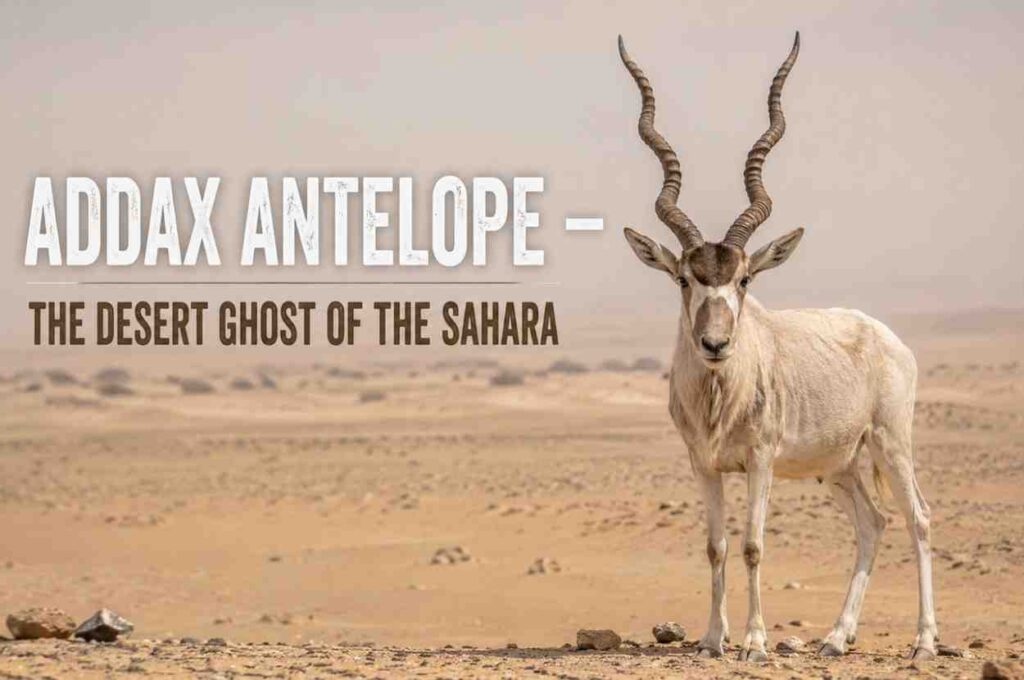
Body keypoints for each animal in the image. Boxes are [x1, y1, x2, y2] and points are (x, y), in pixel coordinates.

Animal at [617, 33, 937, 662]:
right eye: (683, 279)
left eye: (744, 279)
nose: (714, 343)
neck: (722, 395)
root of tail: (883, 335)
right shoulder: (704, 464)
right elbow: (716, 546)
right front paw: (711, 640)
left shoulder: (761, 460)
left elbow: (752, 545)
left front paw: (755, 642)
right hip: (838, 466)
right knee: (874, 523)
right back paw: (836, 638)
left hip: (890, 442)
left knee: (917, 518)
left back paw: (924, 642)